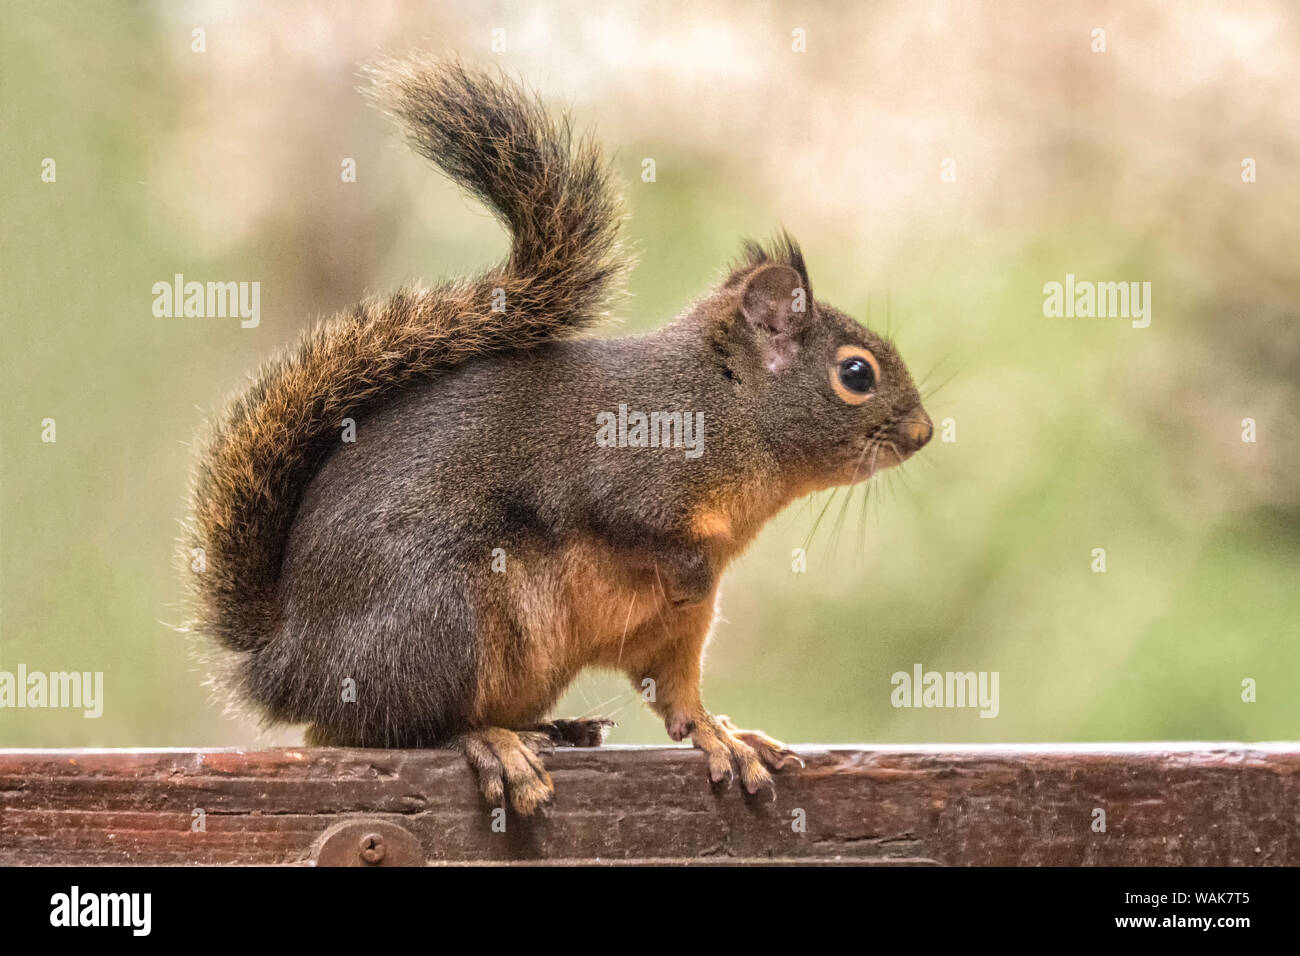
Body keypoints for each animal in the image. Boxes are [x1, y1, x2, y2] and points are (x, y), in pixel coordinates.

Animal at [183, 57, 935, 816]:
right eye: (856, 374)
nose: (924, 432)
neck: (728, 410)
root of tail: (288, 663)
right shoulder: (629, 467)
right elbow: (633, 525)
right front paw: (689, 574)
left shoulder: (675, 630)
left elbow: (678, 697)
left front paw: (720, 733)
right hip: (440, 616)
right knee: (393, 729)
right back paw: (491, 742)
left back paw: (557, 727)